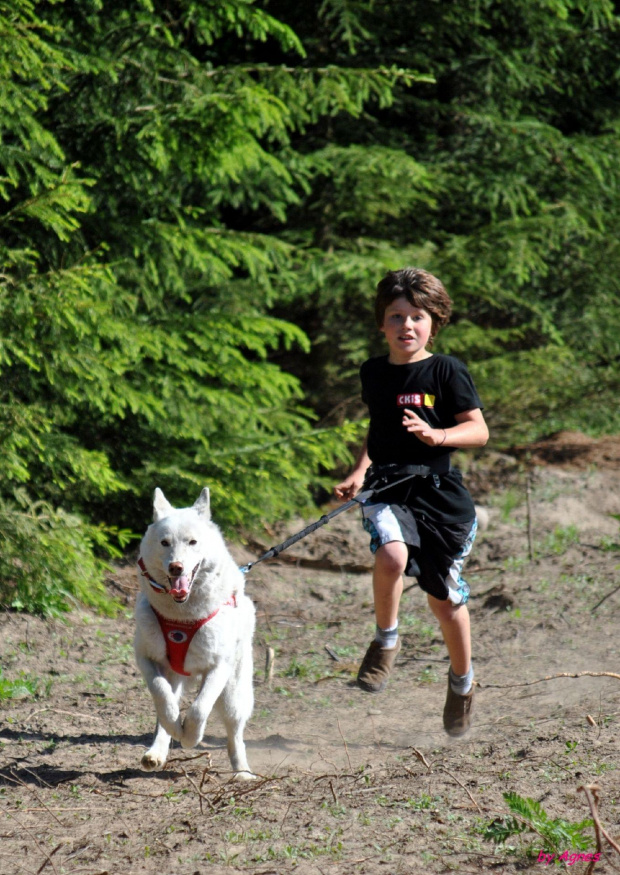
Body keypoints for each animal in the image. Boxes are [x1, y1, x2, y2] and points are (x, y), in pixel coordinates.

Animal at [134, 486, 256, 780]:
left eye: (192, 542)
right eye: (165, 542)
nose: (176, 567)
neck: (182, 617)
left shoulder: (219, 667)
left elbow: (200, 708)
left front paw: (191, 737)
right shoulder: (146, 658)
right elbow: (163, 699)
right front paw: (176, 728)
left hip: (234, 693)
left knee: (235, 734)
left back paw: (242, 772)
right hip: (175, 674)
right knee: (165, 707)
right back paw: (156, 752)